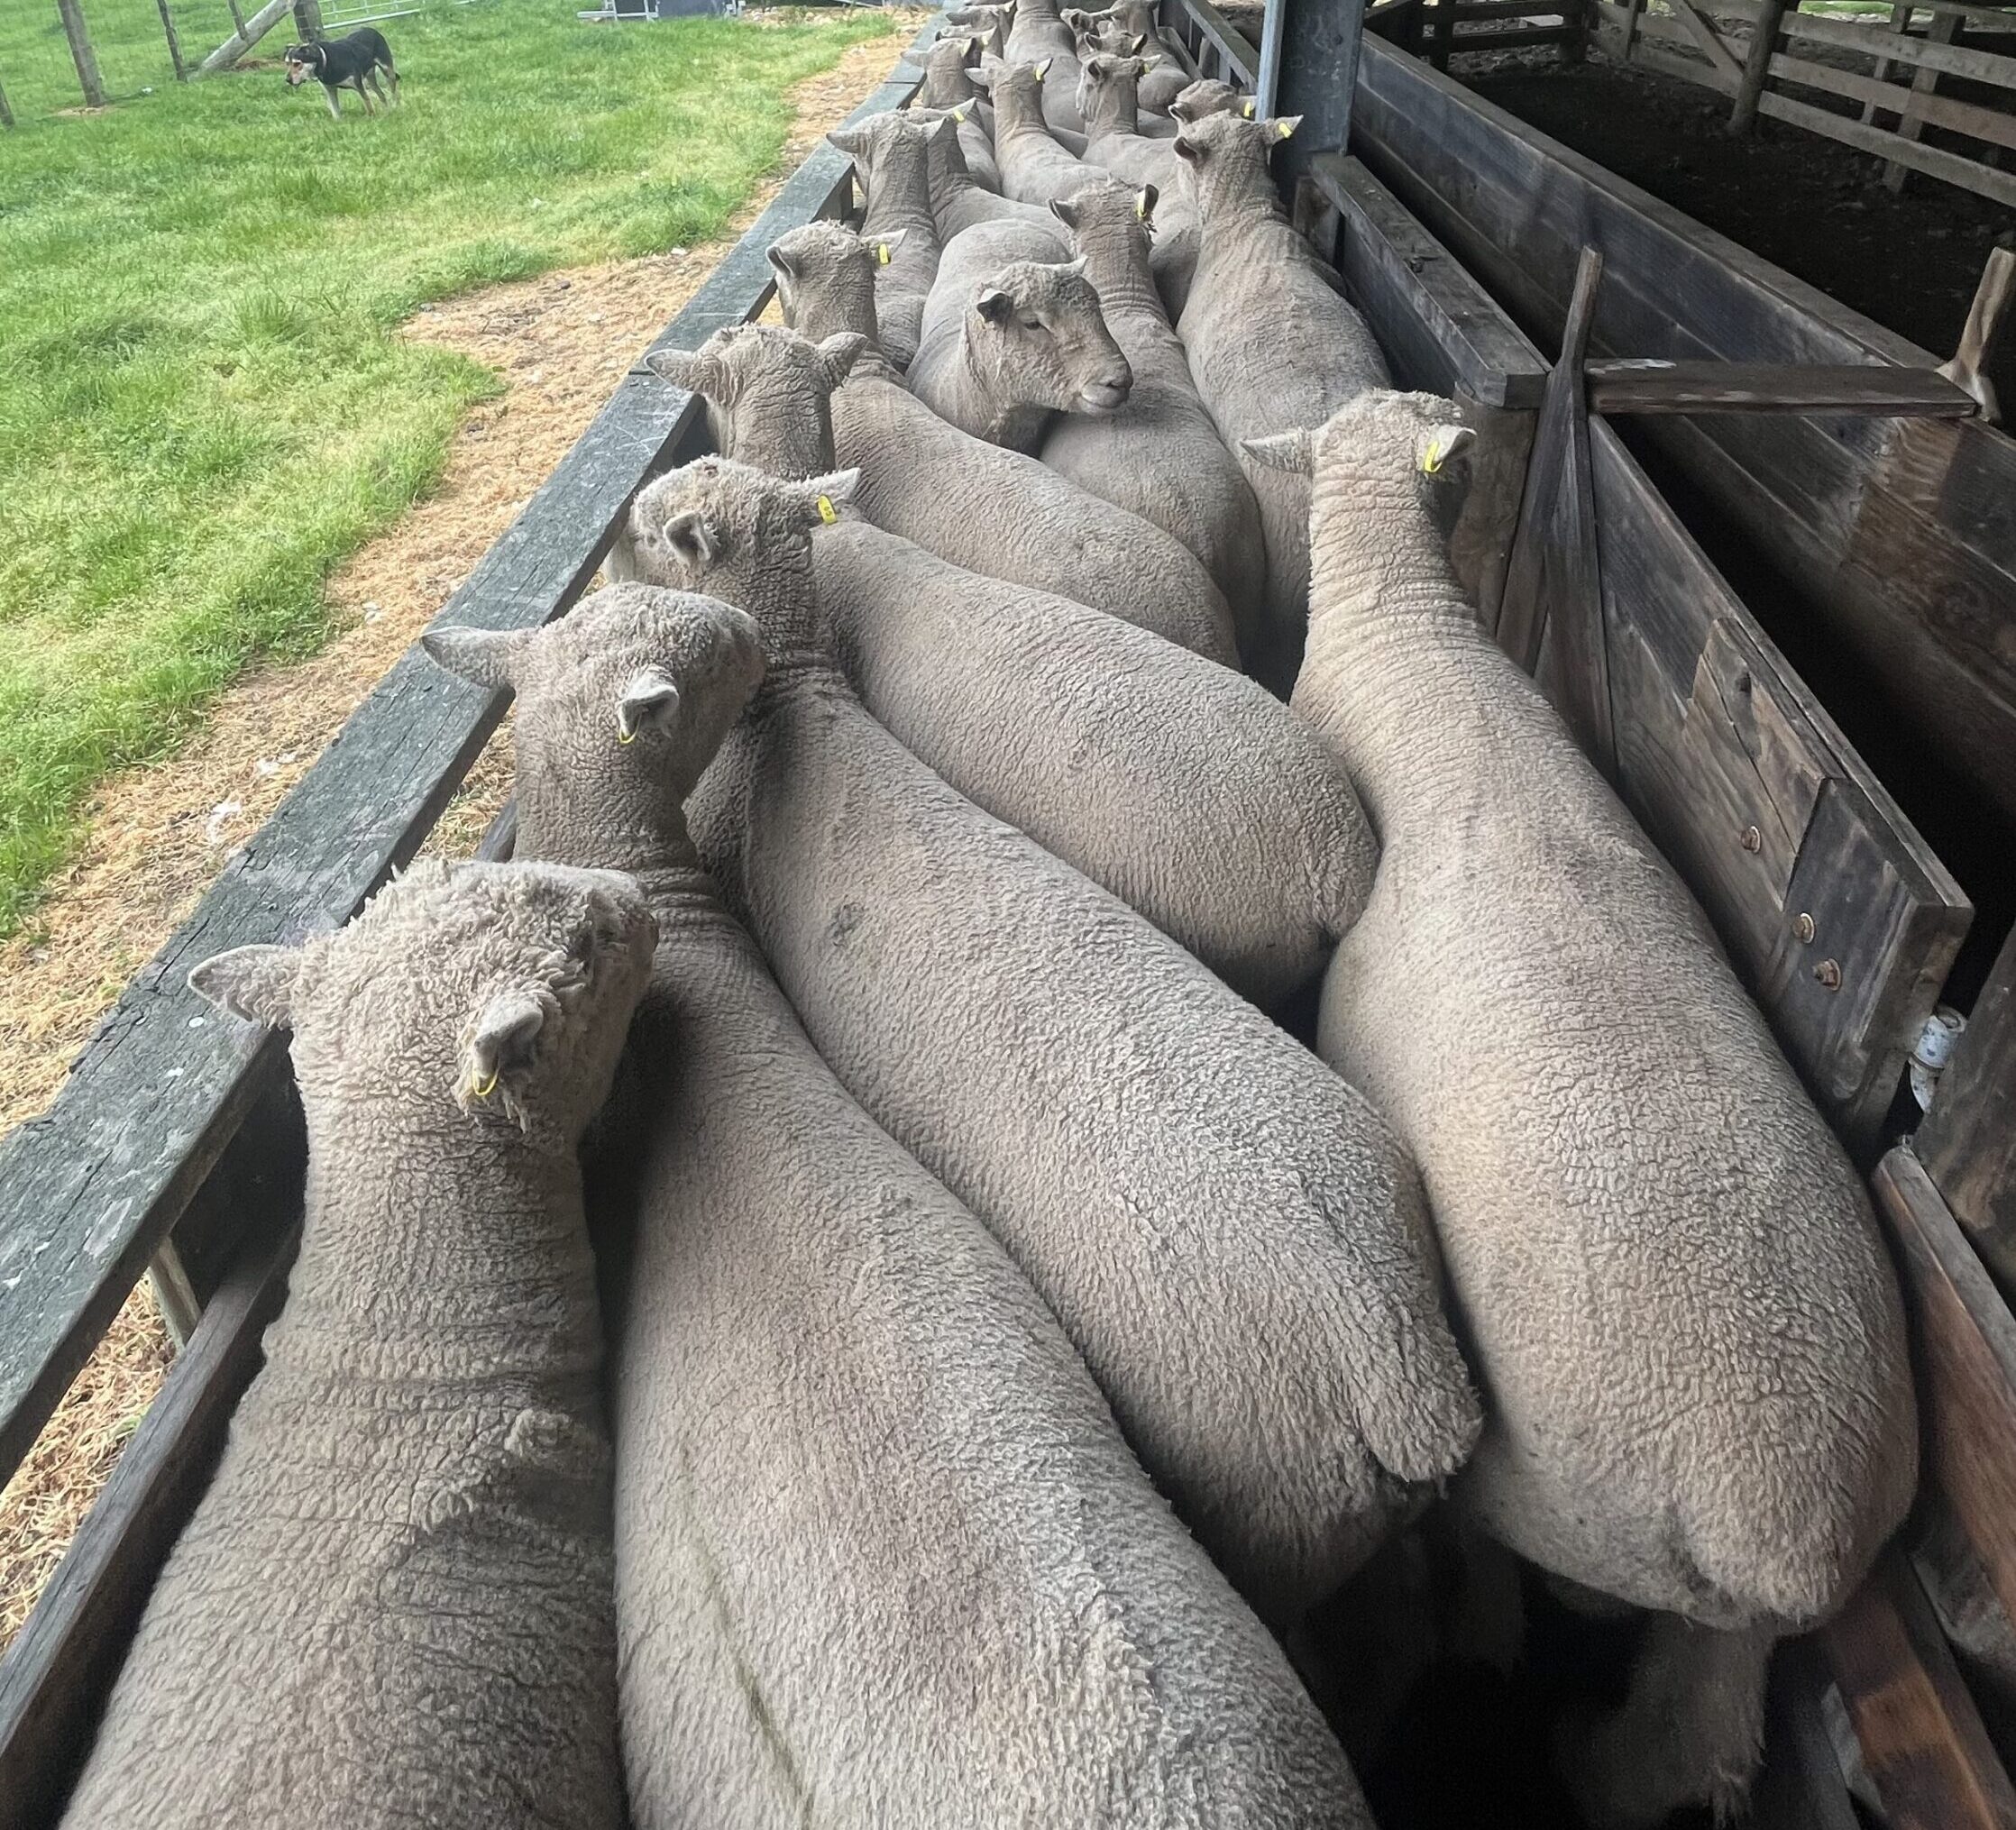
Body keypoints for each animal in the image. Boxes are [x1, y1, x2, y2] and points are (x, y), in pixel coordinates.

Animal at [1247, 389, 1917, 1825]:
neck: (1405, 618)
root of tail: (1778, 1522)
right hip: (1741, 1609)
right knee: (1693, 1728)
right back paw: (1594, 1765)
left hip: (1541, 1470)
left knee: (1497, 1591)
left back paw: (1487, 1653)